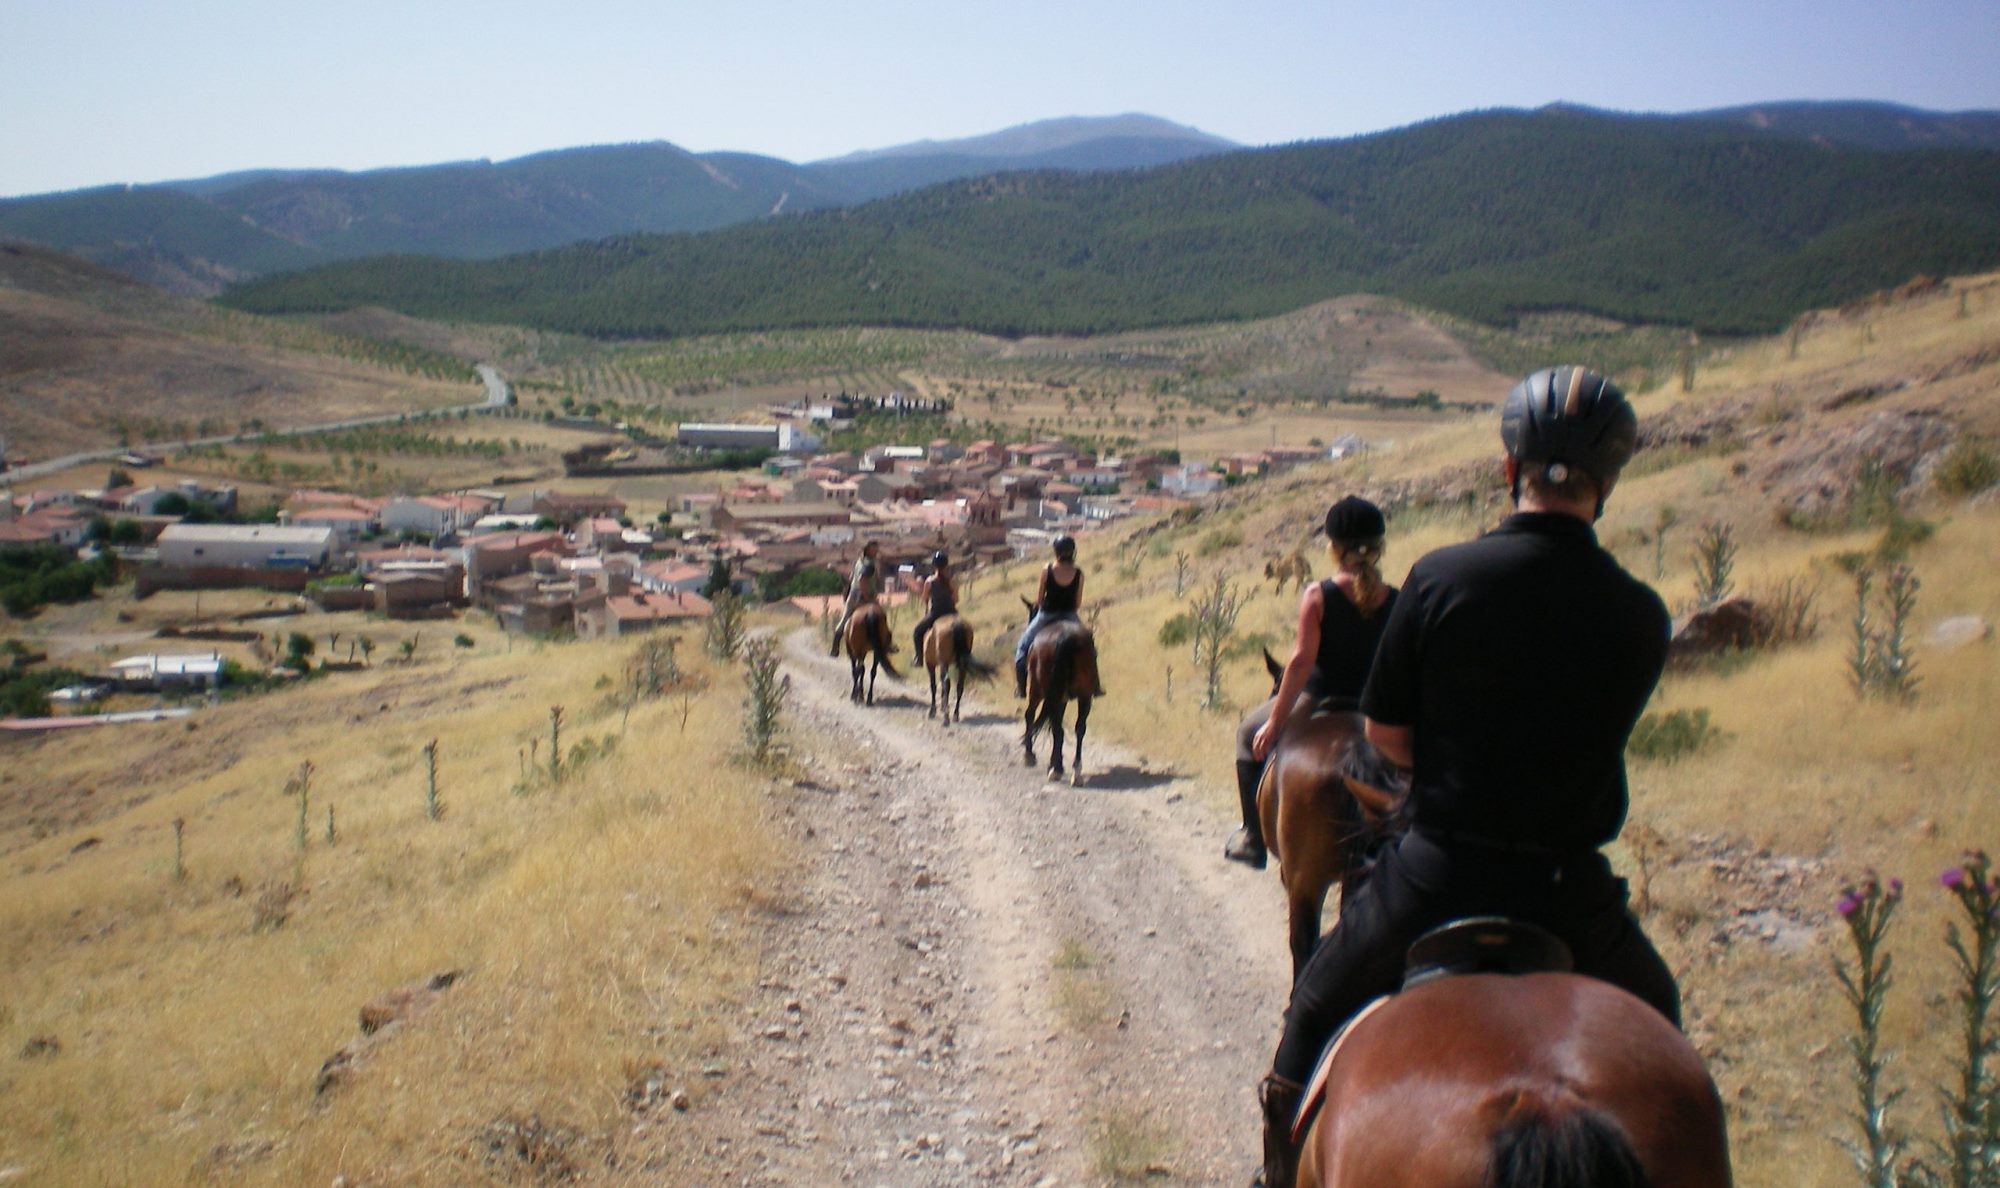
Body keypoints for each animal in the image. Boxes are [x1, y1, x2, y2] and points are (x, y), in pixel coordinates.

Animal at [1024, 596, 1104, 780]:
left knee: (1050, 725)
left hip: (1042, 691)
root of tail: (1065, 638)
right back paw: (1076, 770)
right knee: (1079, 728)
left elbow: (1031, 716)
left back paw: (1055, 768)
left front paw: (1032, 755)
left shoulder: (1045, 694)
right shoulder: (1063, 699)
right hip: (1084, 694)